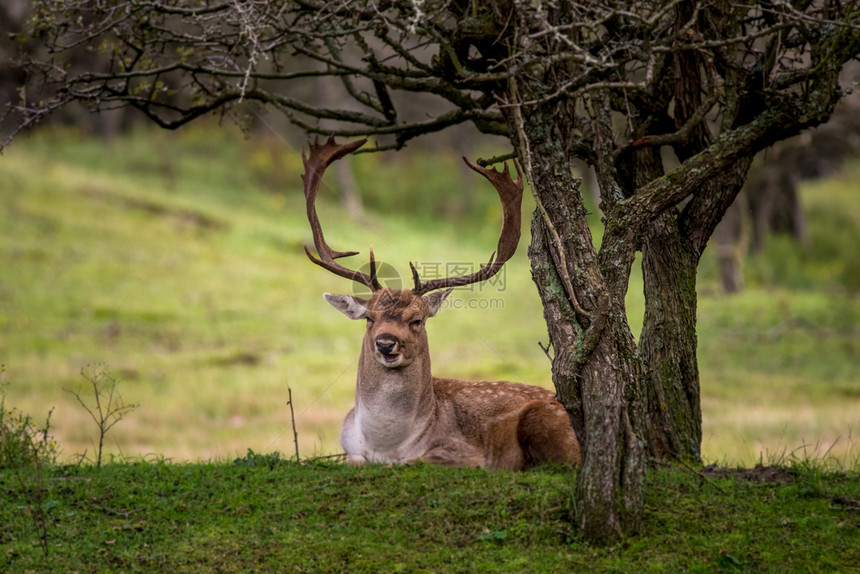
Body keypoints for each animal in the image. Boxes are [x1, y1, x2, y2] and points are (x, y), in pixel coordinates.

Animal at [298, 137, 580, 470]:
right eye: (369, 317)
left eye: (416, 320)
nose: (386, 343)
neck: (386, 444)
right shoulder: (348, 448)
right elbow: (354, 461)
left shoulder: (466, 454)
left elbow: (412, 462)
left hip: (546, 419)